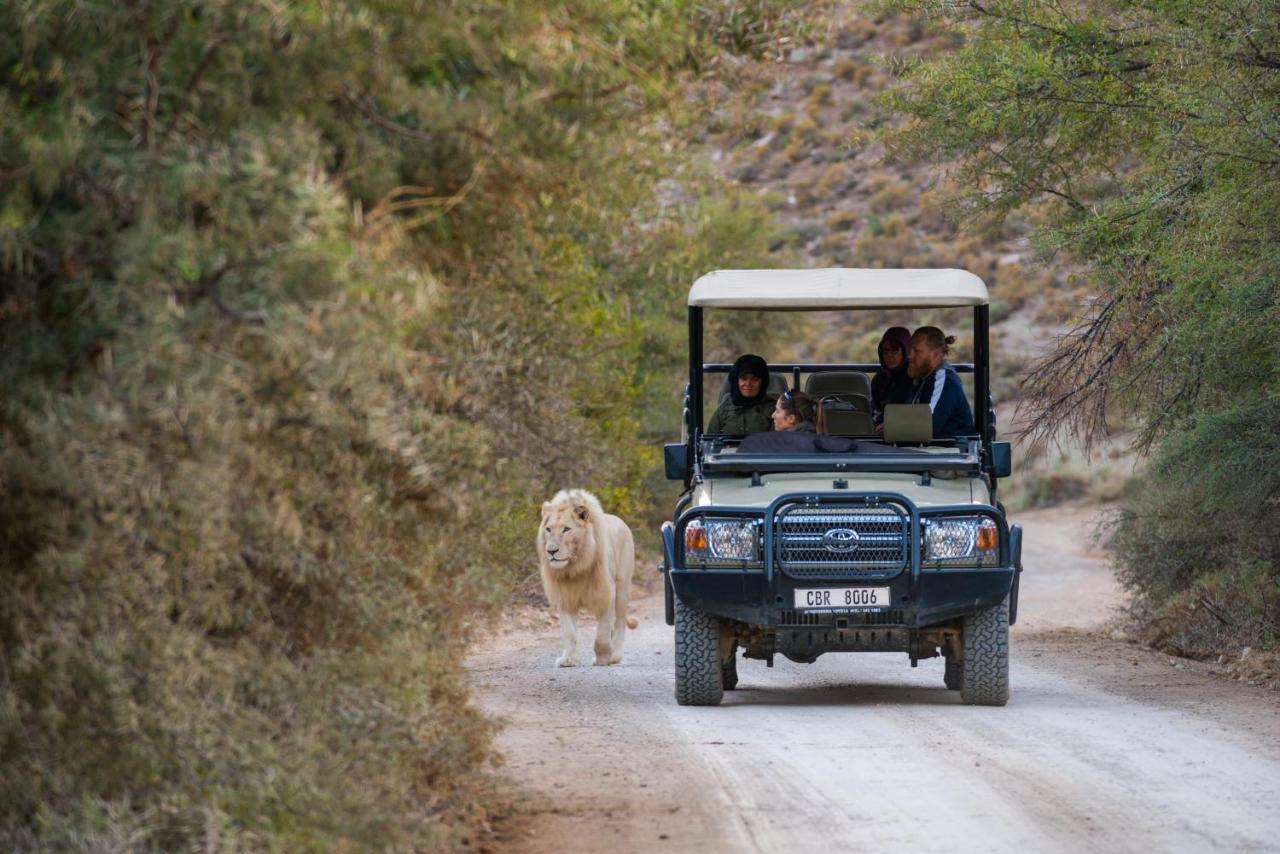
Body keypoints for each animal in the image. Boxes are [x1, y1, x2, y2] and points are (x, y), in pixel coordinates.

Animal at [537, 486, 637, 665]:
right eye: (548, 529)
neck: (575, 567)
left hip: (622, 588)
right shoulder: (565, 597)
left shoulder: (606, 593)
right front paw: (568, 659)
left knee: (619, 622)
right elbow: (569, 633)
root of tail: (621, 521)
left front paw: (602, 658)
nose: (551, 551)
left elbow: (602, 634)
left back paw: (615, 655)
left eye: (566, 529)